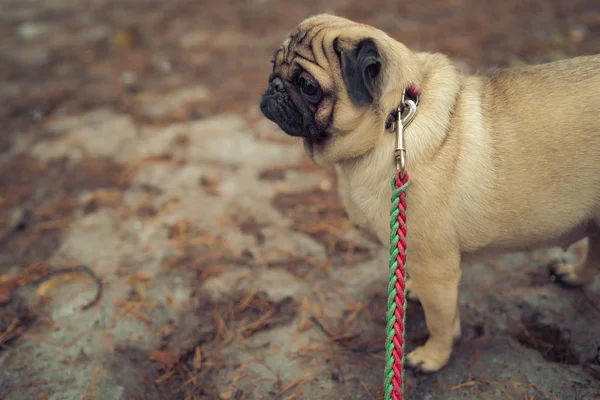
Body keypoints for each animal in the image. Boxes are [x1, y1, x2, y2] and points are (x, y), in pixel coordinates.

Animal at [260, 14, 600, 374]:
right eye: (273, 64)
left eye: (308, 86)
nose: (274, 86)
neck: (394, 122)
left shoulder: (438, 271)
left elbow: (440, 321)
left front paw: (433, 356)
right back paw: (574, 275)